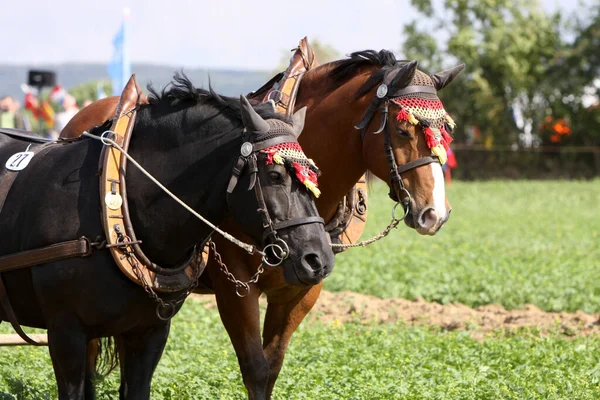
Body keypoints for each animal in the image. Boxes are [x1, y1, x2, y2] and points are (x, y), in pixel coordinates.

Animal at [62, 50, 464, 400]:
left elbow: (271, 367)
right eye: (402, 128)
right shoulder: (235, 288)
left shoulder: (301, 291)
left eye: (446, 131)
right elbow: (254, 368)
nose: (435, 213)